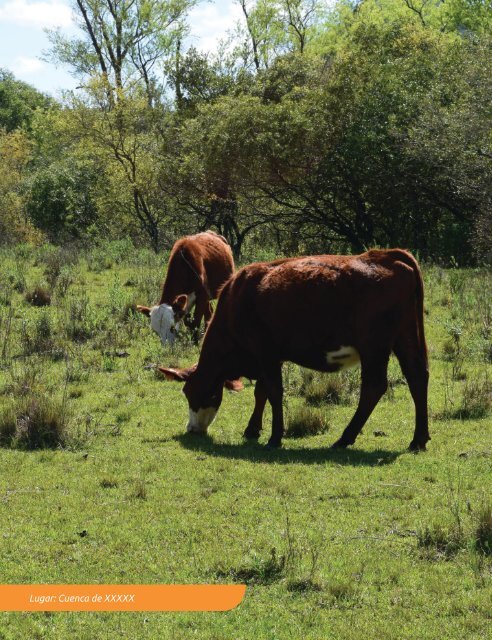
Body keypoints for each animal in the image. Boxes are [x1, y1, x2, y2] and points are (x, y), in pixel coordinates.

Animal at [160, 248, 428, 452]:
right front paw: (253, 429)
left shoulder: (265, 352)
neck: (238, 299)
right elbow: (261, 392)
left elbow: (274, 392)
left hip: (374, 347)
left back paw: (345, 438)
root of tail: (386, 255)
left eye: (190, 392)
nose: (192, 429)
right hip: (406, 338)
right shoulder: (269, 357)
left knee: (374, 387)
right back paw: (418, 439)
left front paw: (275, 437)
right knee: (417, 377)